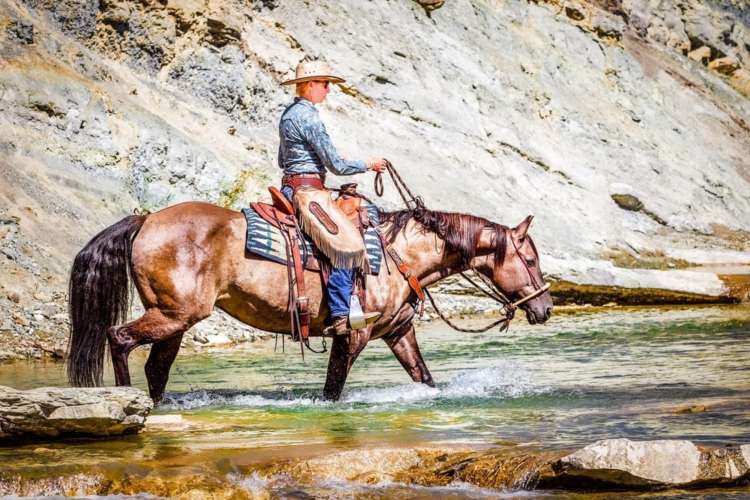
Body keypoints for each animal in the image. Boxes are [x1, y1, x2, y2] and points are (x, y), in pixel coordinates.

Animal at [67, 201, 556, 400]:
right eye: (531, 258)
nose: (544, 308)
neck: (399, 255)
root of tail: (146, 220)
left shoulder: (398, 331)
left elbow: (425, 378)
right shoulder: (353, 335)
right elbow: (333, 389)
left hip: (177, 319)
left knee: (156, 367)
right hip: (173, 314)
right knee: (119, 338)